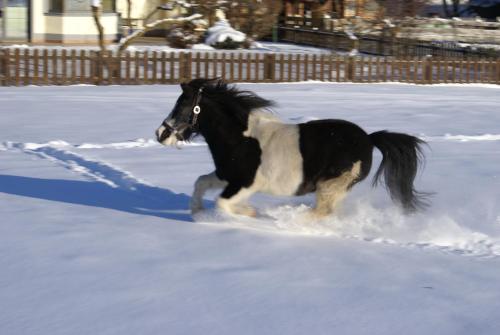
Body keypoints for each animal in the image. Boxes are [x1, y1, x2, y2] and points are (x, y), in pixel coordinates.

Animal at [155, 79, 426, 219]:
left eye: (182, 105)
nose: (160, 134)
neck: (241, 138)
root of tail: (369, 139)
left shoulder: (245, 184)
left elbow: (223, 205)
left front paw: (249, 213)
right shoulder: (227, 176)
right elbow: (201, 182)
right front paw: (198, 212)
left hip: (330, 185)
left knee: (321, 212)